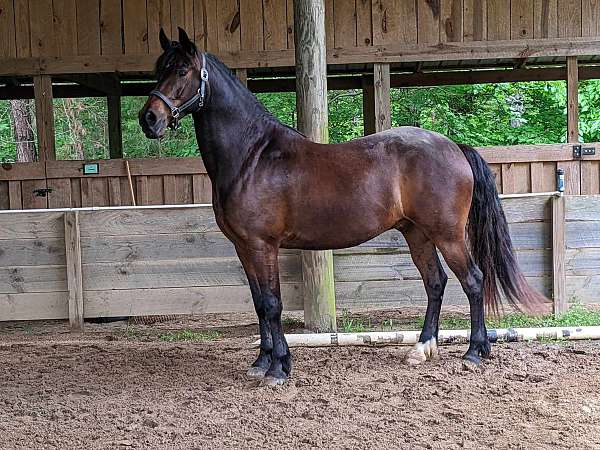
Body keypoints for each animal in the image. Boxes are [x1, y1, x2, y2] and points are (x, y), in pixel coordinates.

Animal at [139, 28, 544, 386]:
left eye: (182, 70)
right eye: (158, 68)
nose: (149, 119)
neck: (253, 156)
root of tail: (454, 147)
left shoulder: (262, 245)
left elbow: (272, 303)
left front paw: (279, 369)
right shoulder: (244, 248)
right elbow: (258, 304)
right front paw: (261, 362)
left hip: (447, 235)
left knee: (473, 280)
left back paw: (475, 352)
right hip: (417, 233)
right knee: (436, 282)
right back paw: (421, 348)